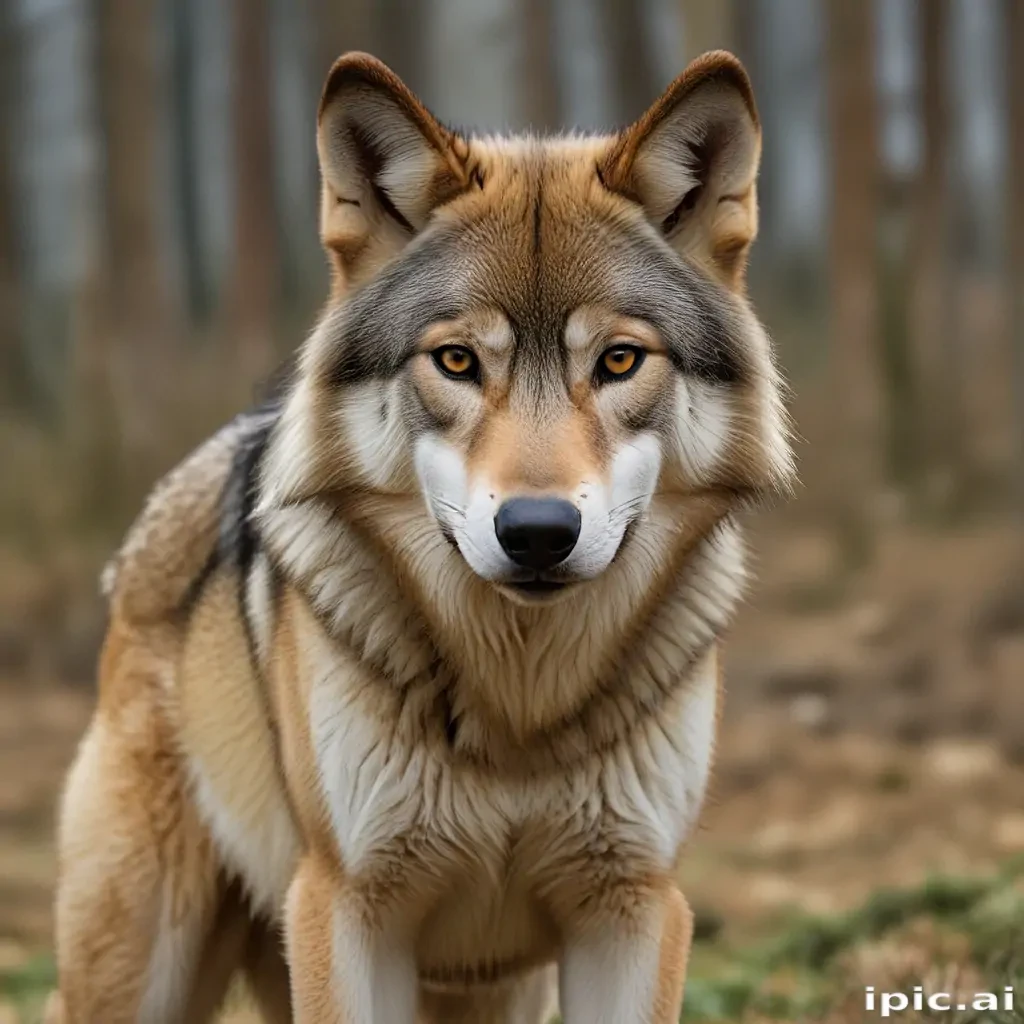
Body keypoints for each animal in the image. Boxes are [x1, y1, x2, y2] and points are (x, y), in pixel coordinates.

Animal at [45, 49, 793, 1024]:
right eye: (458, 361)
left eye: (620, 360)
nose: (539, 532)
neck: (519, 707)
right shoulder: (348, 907)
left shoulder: (631, 907)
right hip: (144, 967)